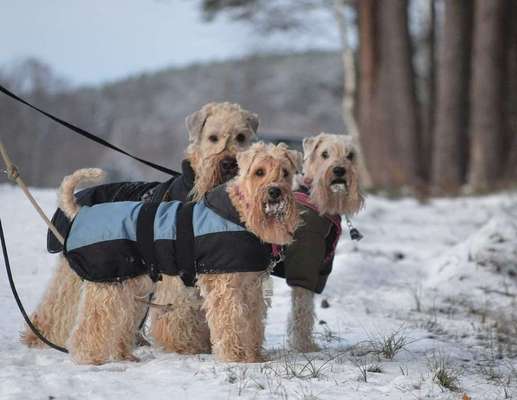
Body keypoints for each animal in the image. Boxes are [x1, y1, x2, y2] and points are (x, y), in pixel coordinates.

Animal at [38, 142, 300, 364]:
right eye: (259, 172)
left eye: (285, 172)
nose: (275, 192)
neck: (239, 214)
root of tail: (80, 212)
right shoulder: (225, 287)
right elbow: (230, 322)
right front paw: (234, 358)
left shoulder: (251, 287)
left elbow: (253, 323)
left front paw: (255, 356)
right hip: (108, 285)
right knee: (90, 325)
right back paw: (89, 358)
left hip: (130, 285)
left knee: (121, 323)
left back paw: (125, 355)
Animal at [270, 134, 362, 354]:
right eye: (324, 154)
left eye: (351, 155)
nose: (339, 170)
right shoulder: (305, 265)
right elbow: (302, 308)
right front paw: (304, 346)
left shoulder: (321, 269)